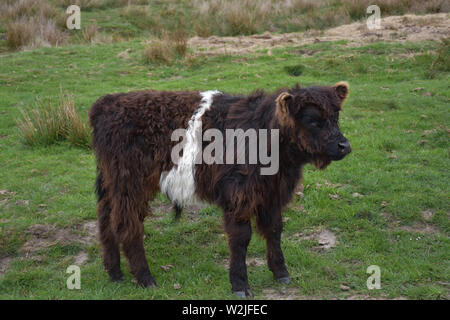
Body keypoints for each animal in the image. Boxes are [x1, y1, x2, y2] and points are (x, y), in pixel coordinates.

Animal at [89, 82, 352, 298]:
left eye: (336, 116)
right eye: (313, 120)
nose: (344, 146)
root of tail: (109, 101)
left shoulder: (271, 195)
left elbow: (274, 231)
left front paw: (281, 273)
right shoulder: (238, 195)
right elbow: (240, 238)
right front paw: (239, 284)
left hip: (112, 186)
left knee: (106, 221)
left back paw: (115, 272)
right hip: (130, 185)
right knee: (127, 226)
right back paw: (145, 278)